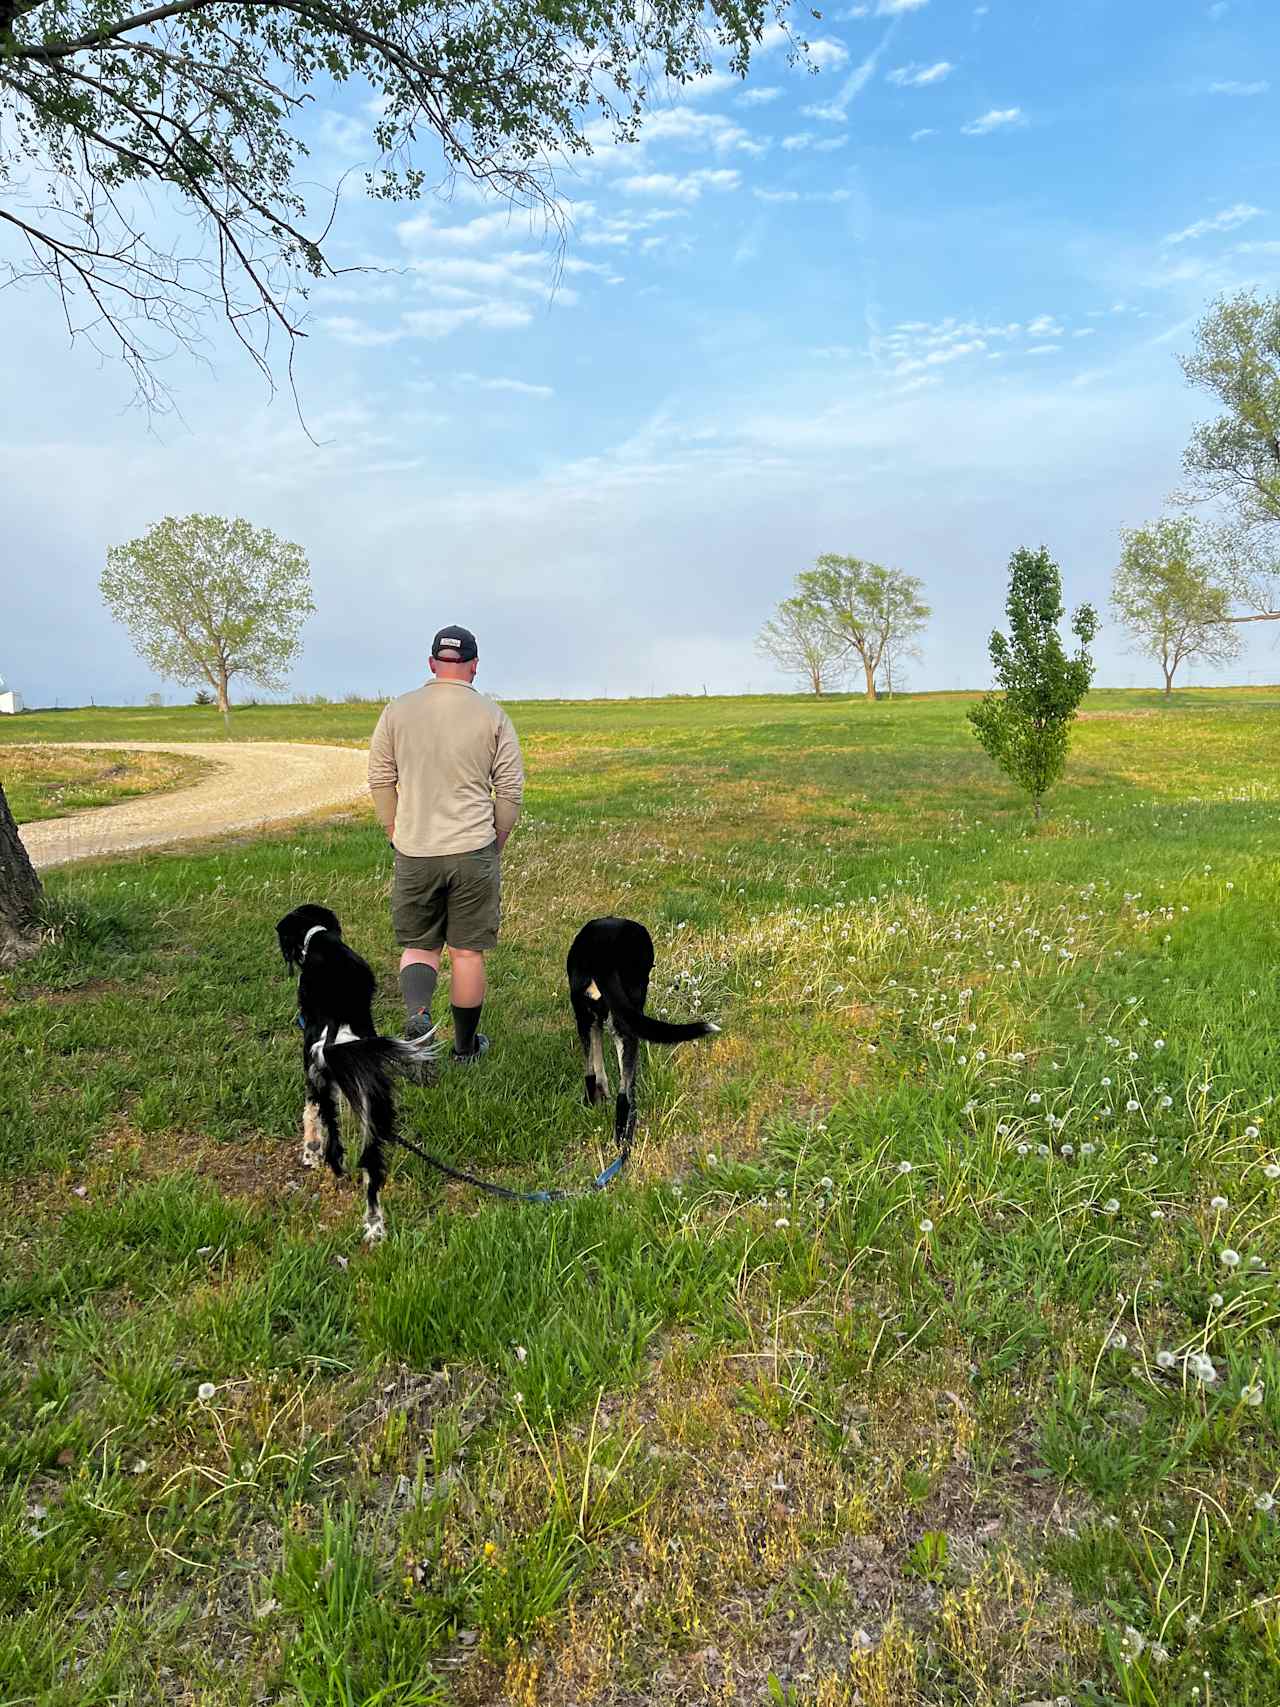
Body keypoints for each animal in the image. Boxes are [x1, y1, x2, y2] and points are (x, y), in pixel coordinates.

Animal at [276, 908, 440, 1242]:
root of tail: (337, 1039)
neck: (320, 939)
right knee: (372, 1174)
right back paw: (375, 1229)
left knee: (333, 1146)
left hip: (327, 1091)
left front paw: (309, 1153)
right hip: (373, 1118)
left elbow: (308, 1115)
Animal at [563, 921, 716, 1160]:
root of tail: (601, 953)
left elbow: (598, 1067)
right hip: (627, 1027)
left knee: (589, 1074)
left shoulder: (595, 1021)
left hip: (584, 1016)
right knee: (625, 1094)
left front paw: (601, 1095)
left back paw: (593, 1107)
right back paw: (623, 1140)